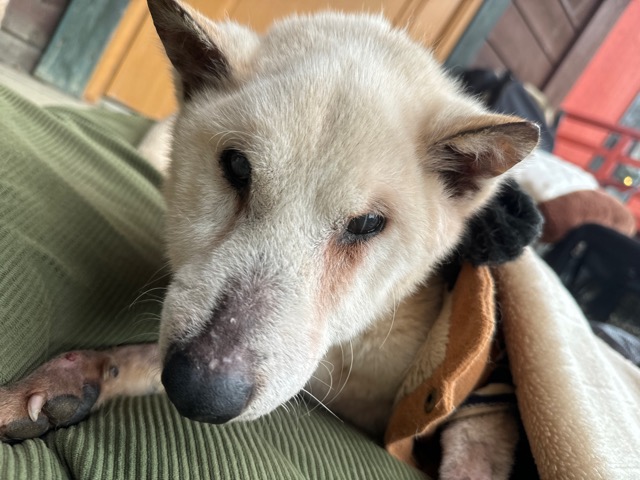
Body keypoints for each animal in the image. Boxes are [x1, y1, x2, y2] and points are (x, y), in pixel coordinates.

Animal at [0, 0, 539, 477]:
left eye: (367, 224)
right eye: (237, 167)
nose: (200, 394)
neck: (349, 347)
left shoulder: (485, 386)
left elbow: (478, 441)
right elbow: (147, 354)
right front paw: (78, 374)